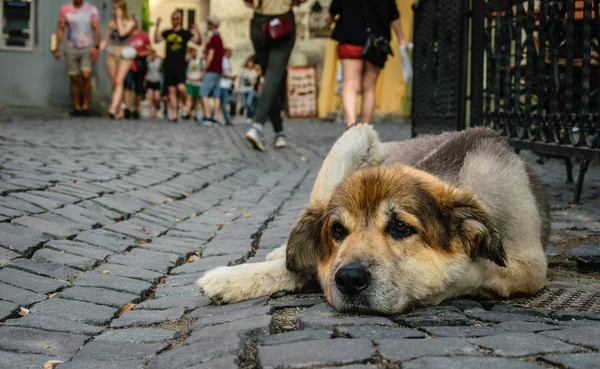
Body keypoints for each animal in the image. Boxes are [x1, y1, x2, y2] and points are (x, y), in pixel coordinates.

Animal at [198, 126, 548, 314]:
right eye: (337, 230)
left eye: (401, 227)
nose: (349, 279)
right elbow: (306, 267)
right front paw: (231, 278)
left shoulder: (530, 266)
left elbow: (472, 270)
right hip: (354, 137)